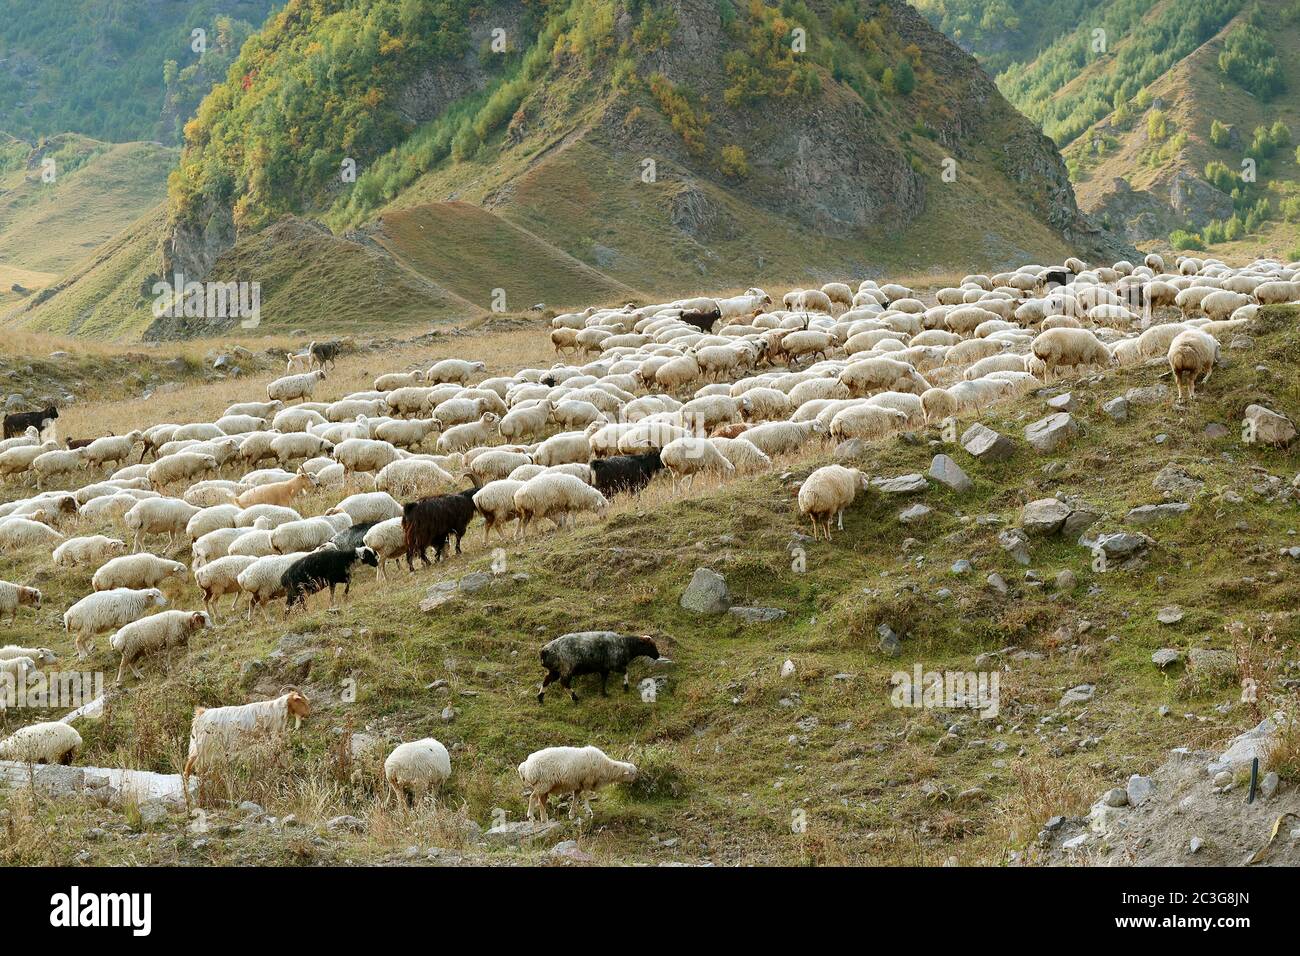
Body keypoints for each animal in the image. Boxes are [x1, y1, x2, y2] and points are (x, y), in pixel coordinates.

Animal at [183, 691, 312, 790]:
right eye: (301, 701)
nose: (308, 714)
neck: (276, 710)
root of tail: (200, 714)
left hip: (198, 747)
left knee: (189, 768)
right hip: (207, 748)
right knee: (196, 769)